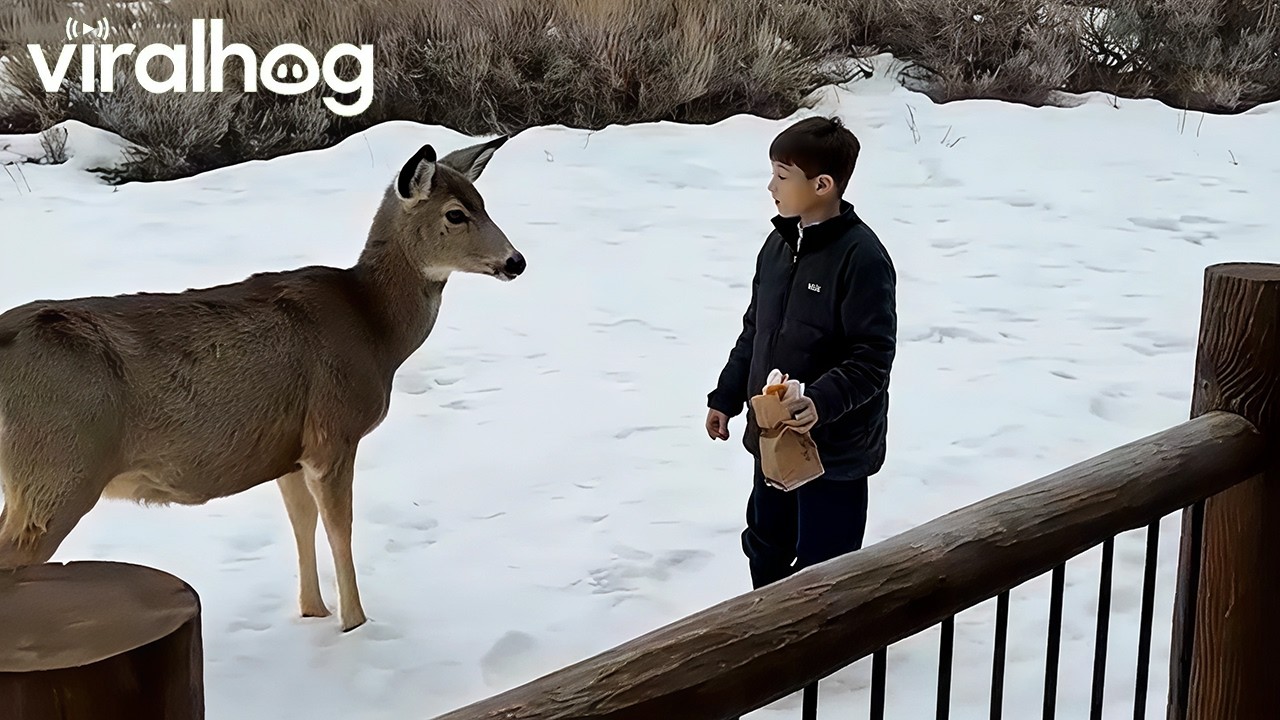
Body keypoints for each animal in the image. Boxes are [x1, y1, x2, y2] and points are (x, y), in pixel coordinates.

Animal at [0, 135, 524, 631]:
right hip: (59, 466)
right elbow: (341, 529)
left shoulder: (289, 449)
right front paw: (355, 624)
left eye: (483, 201)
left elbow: (302, 522)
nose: (516, 261)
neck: (375, 330)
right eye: (456, 213)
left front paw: (313, 612)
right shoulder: (333, 430)